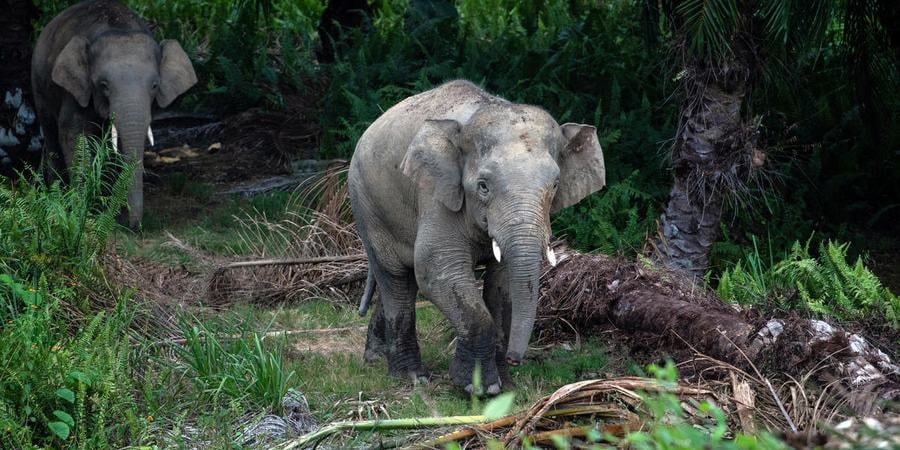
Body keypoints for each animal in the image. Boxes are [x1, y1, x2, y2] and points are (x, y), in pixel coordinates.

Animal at [31, 0, 197, 228]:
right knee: (51, 132)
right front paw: (84, 211)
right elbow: (73, 134)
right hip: (39, 87)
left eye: (155, 85)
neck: (119, 27)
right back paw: (59, 196)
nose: (135, 227)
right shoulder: (75, 91)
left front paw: (111, 212)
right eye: (103, 85)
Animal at [349, 80, 606, 394]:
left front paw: (505, 386)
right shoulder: (437, 196)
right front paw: (479, 388)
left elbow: (503, 284)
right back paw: (411, 377)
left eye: (555, 185)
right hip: (367, 204)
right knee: (396, 277)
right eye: (483, 186)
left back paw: (375, 358)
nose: (515, 358)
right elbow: (437, 271)